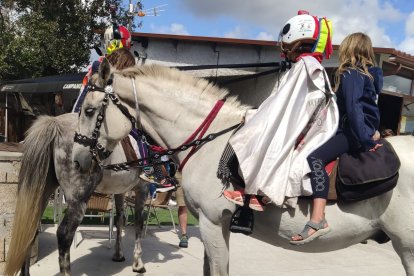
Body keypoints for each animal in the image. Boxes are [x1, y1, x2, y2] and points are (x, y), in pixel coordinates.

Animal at [72, 59, 414, 274]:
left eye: (89, 110)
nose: (77, 159)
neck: (207, 139)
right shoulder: (216, 225)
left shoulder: (211, 222)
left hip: (407, 248)